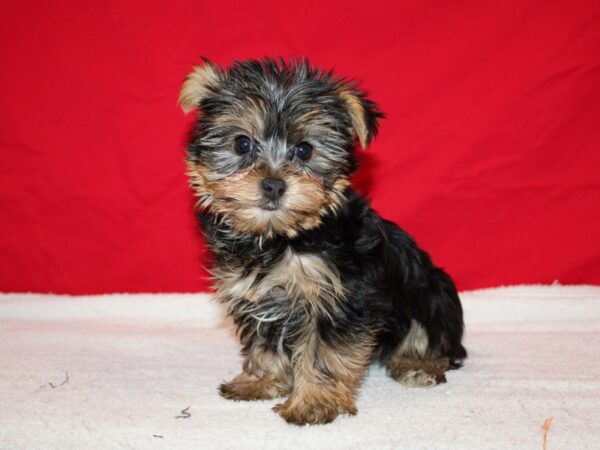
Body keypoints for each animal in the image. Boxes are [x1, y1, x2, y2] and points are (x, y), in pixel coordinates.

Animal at [180, 57, 466, 426]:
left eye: (304, 150)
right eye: (242, 144)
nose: (273, 184)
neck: (282, 237)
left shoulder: (339, 297)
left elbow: (322, 352)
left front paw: (312, 402)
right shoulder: (261, 295)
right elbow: (264, 341)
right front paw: (261, 380)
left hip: (433, 294)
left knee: (432, 337)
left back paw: (418, 365)